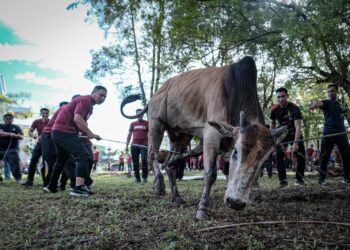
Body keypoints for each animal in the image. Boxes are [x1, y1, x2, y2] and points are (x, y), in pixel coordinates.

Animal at [121, 56, 286, 219]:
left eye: (264, 161)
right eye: (236, 152)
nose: (235, 202)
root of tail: (157, 92)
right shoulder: (211, 134)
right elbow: (210, 174)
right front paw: (202, 209)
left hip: (181, 135)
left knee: (170, 162)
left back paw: (176, 196)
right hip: (156, 124)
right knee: (152, 154)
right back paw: (159, 185)